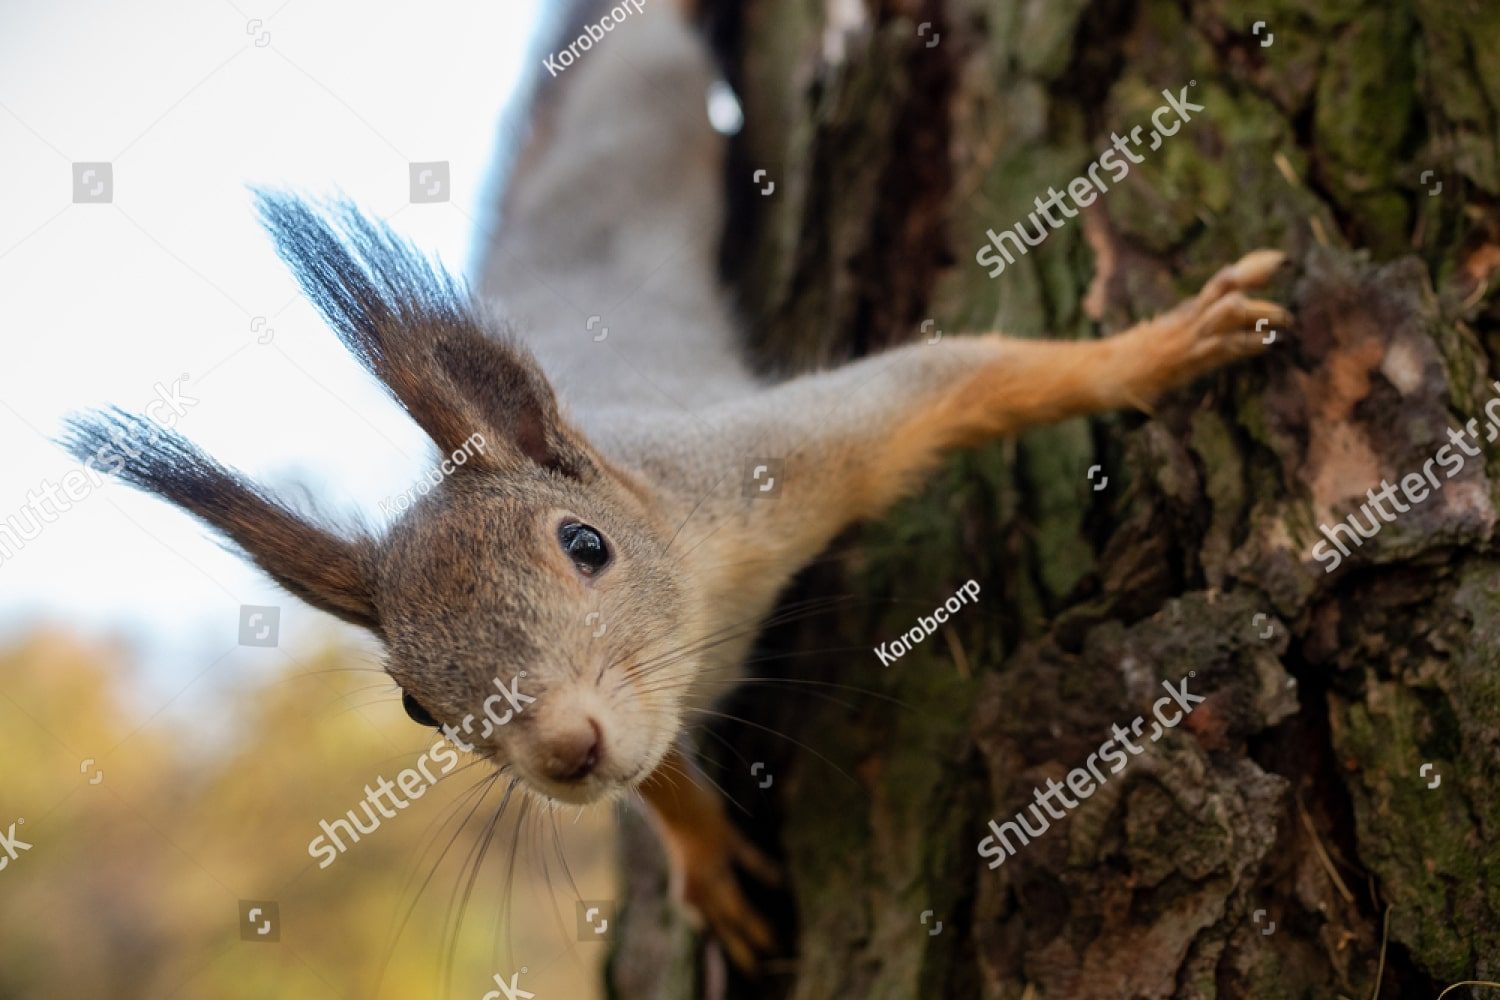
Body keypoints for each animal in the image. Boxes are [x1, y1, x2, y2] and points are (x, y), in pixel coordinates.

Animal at [62, 0, 1290, 972]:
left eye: (586, 545)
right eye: (415, 704)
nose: (563, 751)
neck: (694, 580)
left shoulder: (771, 462)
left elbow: (961, 378)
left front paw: (1158, 349)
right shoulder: (655, 703)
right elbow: (654, 780)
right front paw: (705, 860)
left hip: (646, 88)